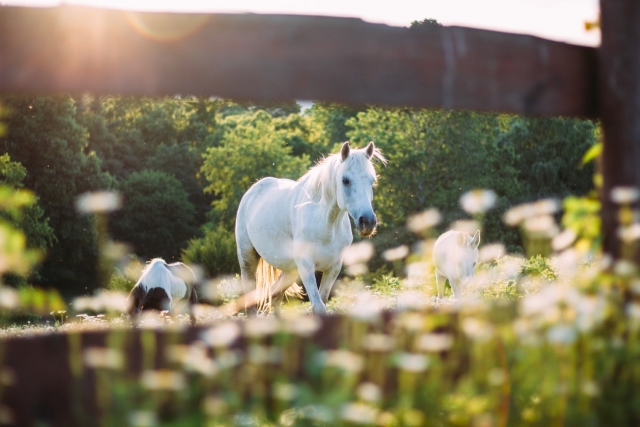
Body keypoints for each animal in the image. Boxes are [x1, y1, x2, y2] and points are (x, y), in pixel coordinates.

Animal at [235, 141, 386, 315]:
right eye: (345, 180)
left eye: (372, 181)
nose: (367, 222)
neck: (326, 225)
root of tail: (253, 190)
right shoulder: (306, 267)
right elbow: (318, 306)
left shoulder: (333, 268)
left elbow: (323, 301)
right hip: (248, 260)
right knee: (251, 300)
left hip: (291, 270)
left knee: (275, 295)